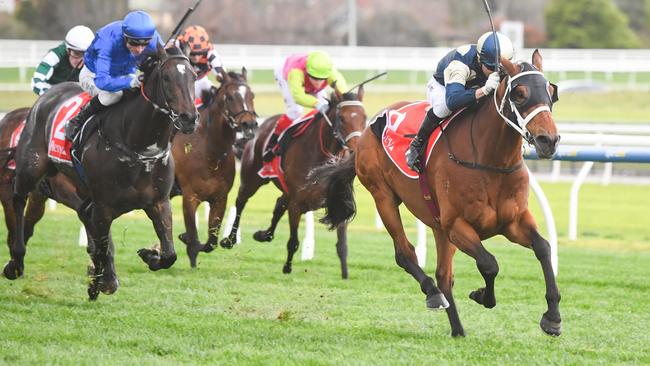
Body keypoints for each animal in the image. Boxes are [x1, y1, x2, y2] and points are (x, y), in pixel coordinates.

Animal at [7, 45, 197, 300]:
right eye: (166, 77)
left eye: (193, 76)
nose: (189, 118)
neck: (138, 146)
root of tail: (49, 94)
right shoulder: (104, 207)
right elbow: (103, 244)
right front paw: (104, 281)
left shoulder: (158, 202)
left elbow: (169, 255)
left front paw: (149, 255)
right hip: (31, 167)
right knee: (18, 199)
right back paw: (15, 261)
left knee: (84, 216)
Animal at [172, 68, 258, 268]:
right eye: (230, 97)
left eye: (251, 95)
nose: (249, 124)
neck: (210, 151)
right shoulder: (190, 197)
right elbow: (194, 238)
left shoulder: (220, 198)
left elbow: (211, 241)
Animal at [221, 88, 364, 278]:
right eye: (342, 118)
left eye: (364, 117)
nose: (357, 149)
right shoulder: (297, 203)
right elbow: (293, 241)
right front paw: (287, 267)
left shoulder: (336, 201)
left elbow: (342, 244)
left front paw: (345, 273)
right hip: (252, 179)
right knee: (241, 202)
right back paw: (230, 239)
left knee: (279, 204)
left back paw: (264, 235)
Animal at [308, 50, 556, 336]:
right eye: (520, 94)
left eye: (551, 91)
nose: (549, 140)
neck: (490, 161)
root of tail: (369, 128)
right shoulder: (456, 225)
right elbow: (489, 263)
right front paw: (483, 296)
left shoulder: (512, 222)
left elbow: (543, 247)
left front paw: (553, 318)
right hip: (383, 197)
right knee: (406, 254)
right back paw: (433, 294)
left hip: (437, 225)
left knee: (443, 275)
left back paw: (457, 329)